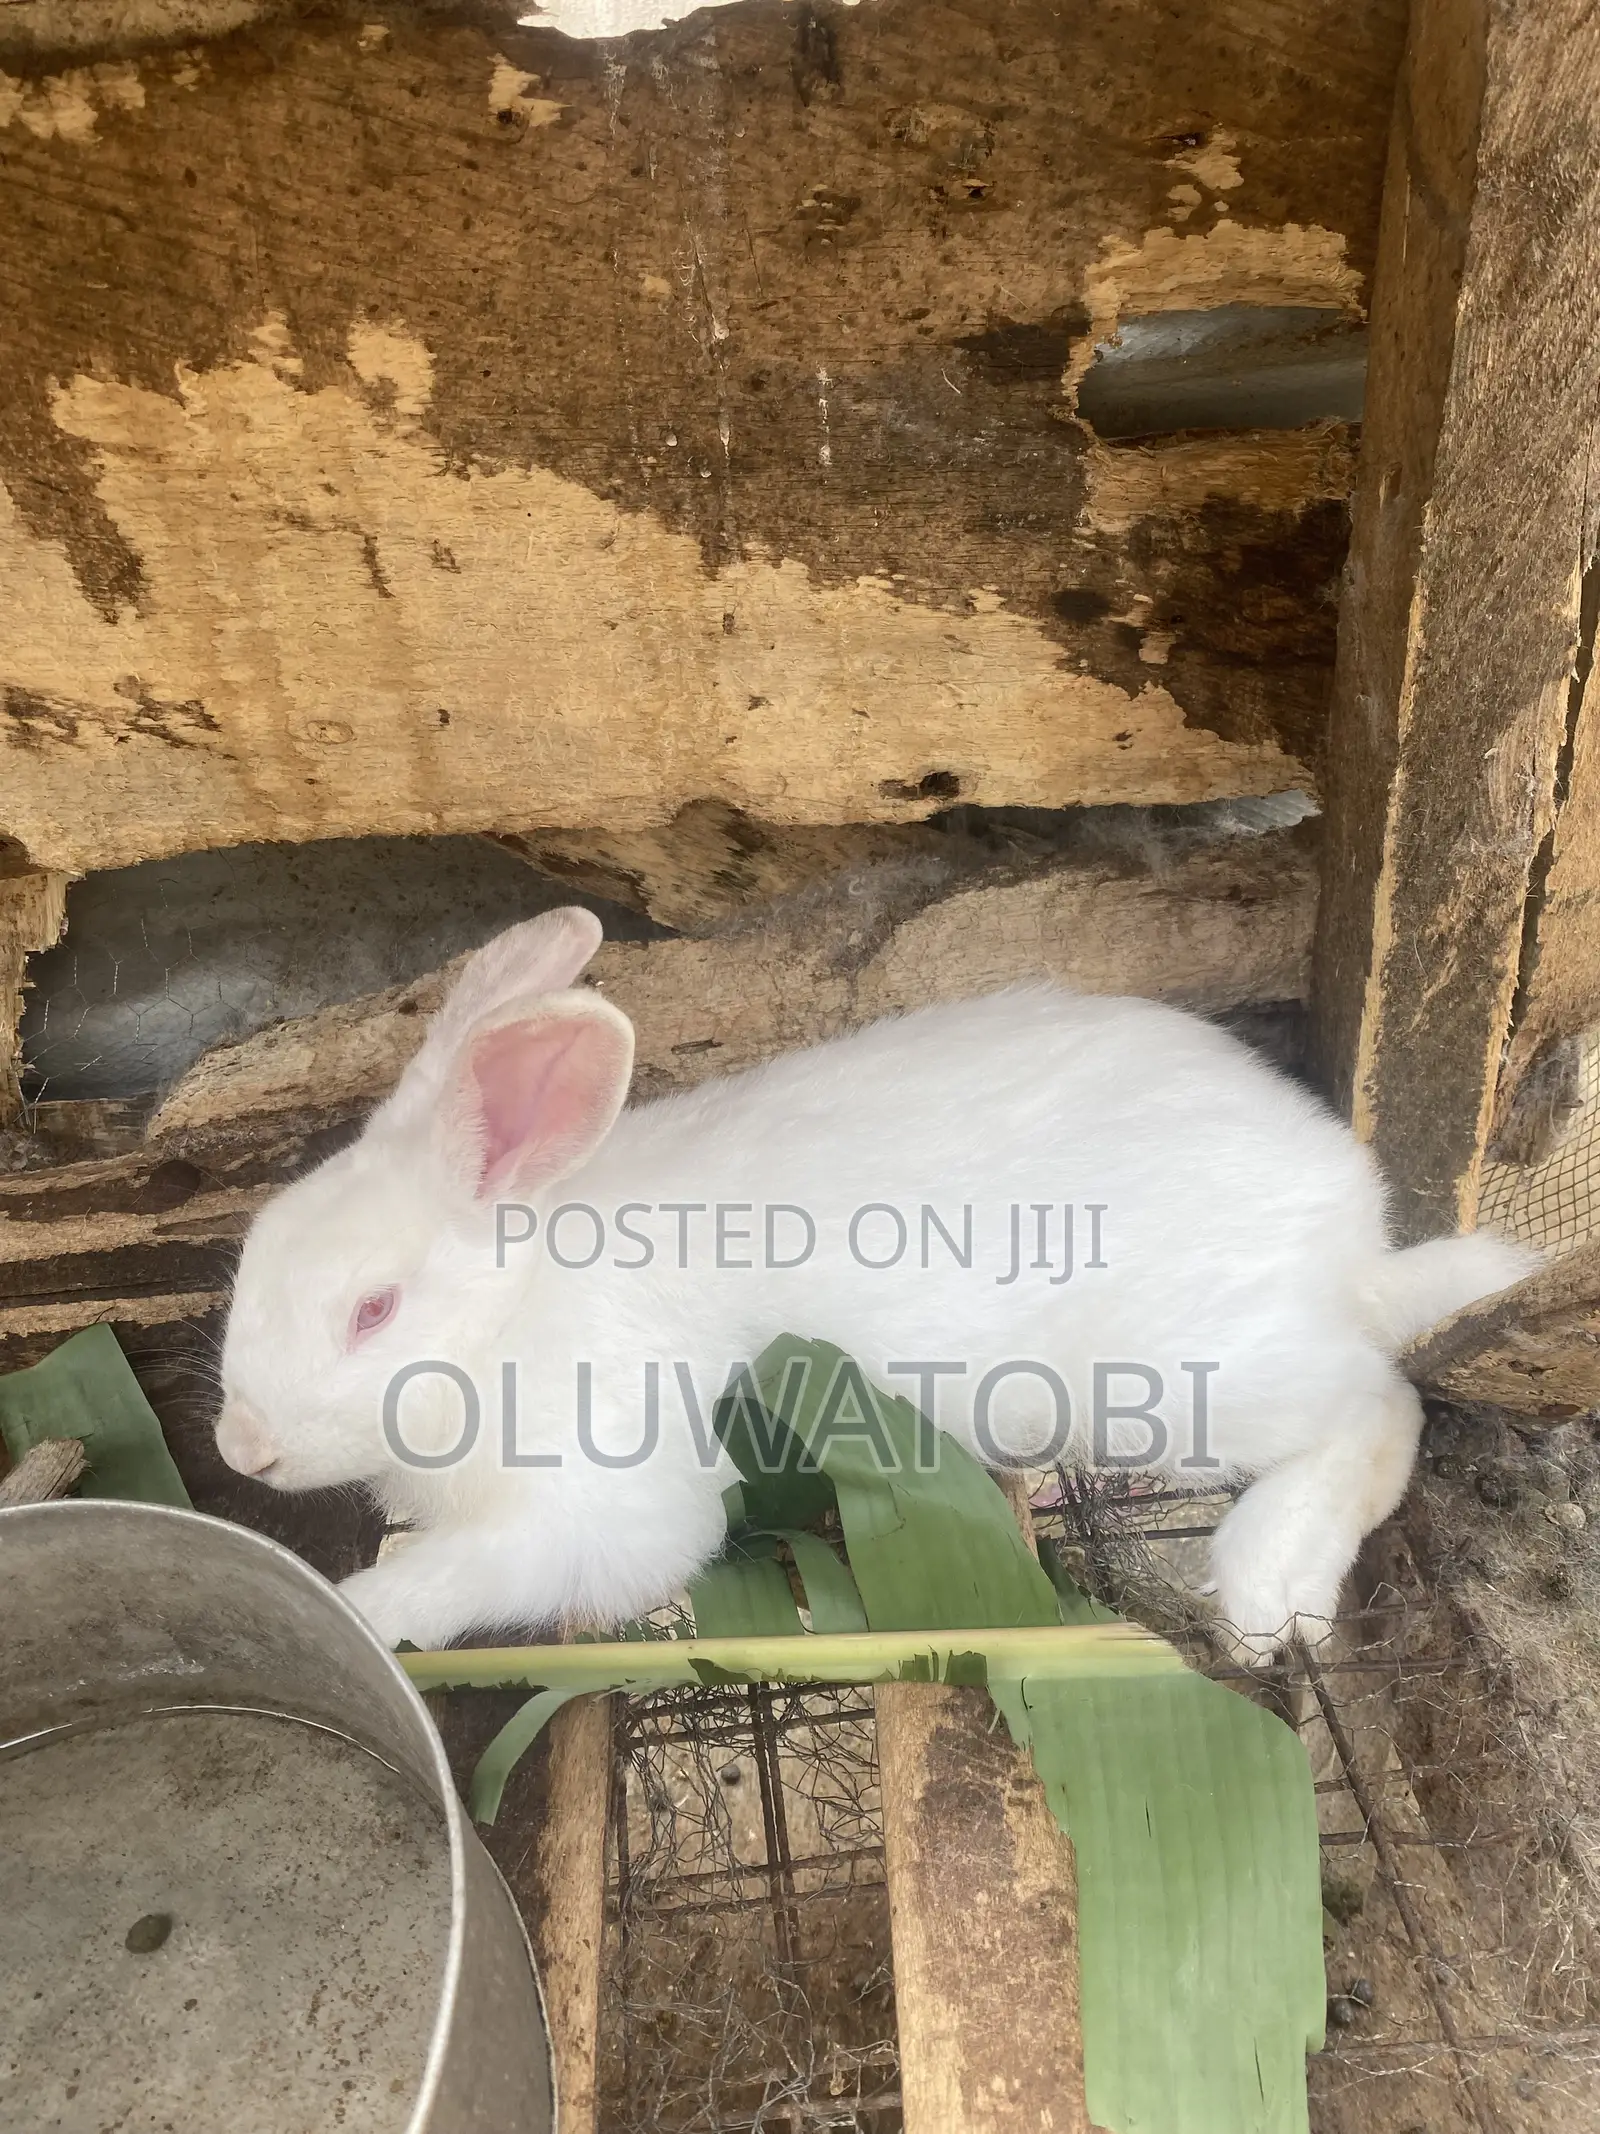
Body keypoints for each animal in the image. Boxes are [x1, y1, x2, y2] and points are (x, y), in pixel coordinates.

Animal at [215, 906, 1536, 1660]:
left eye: (372, 1310)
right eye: (253, 1257)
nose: (240, 1448)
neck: (506, 1317)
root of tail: (1355, 1241)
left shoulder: (607, 1503)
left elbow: (486, 1568)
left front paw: (366, 1609)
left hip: (1181, 1379)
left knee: (1377, 1409)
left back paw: (1268, 1592)